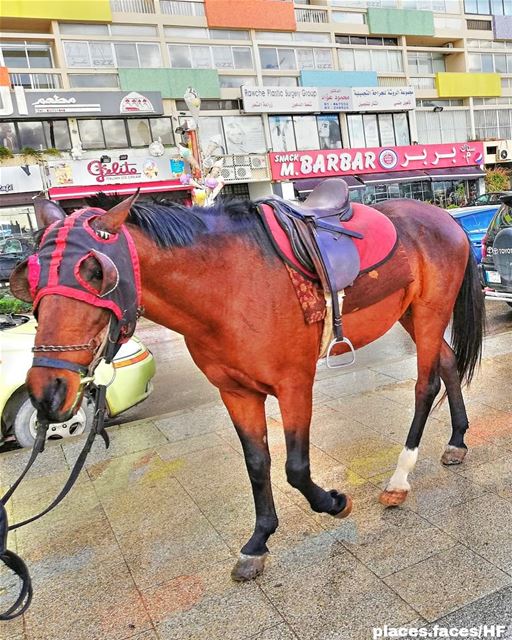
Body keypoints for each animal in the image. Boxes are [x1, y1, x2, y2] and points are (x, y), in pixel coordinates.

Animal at [11, 190, 484, 580]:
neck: (226, 285)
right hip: (410, 314)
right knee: (447, 365)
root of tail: (444, 216)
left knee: (425, 384)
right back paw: (457, 440)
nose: (48, 389)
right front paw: (259, 541)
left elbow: (295, 468)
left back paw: (400, 477)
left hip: (429, 311)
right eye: (28, 279)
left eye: (96, 273)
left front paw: (333, 503)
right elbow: (257, 464)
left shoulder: (294, 384)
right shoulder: (235, 392)